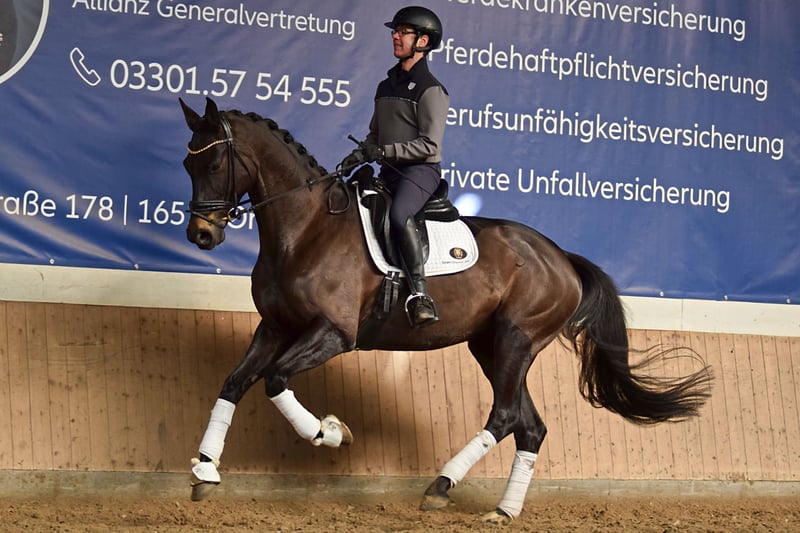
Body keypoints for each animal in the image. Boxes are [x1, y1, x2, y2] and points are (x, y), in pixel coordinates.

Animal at [179, 97, 712, 525]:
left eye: (215, 162)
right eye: (187, 163)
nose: (202, 235)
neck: (307, 229)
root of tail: (561, 257)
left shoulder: (332, 333)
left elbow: (274, 381)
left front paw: (331, 433)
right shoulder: (274, 327)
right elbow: (234, 383)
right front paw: (205, 469)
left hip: (516, 340)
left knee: (505, 415)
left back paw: (440, 486)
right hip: (491, 347)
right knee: (530, 426)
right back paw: (503, 511)